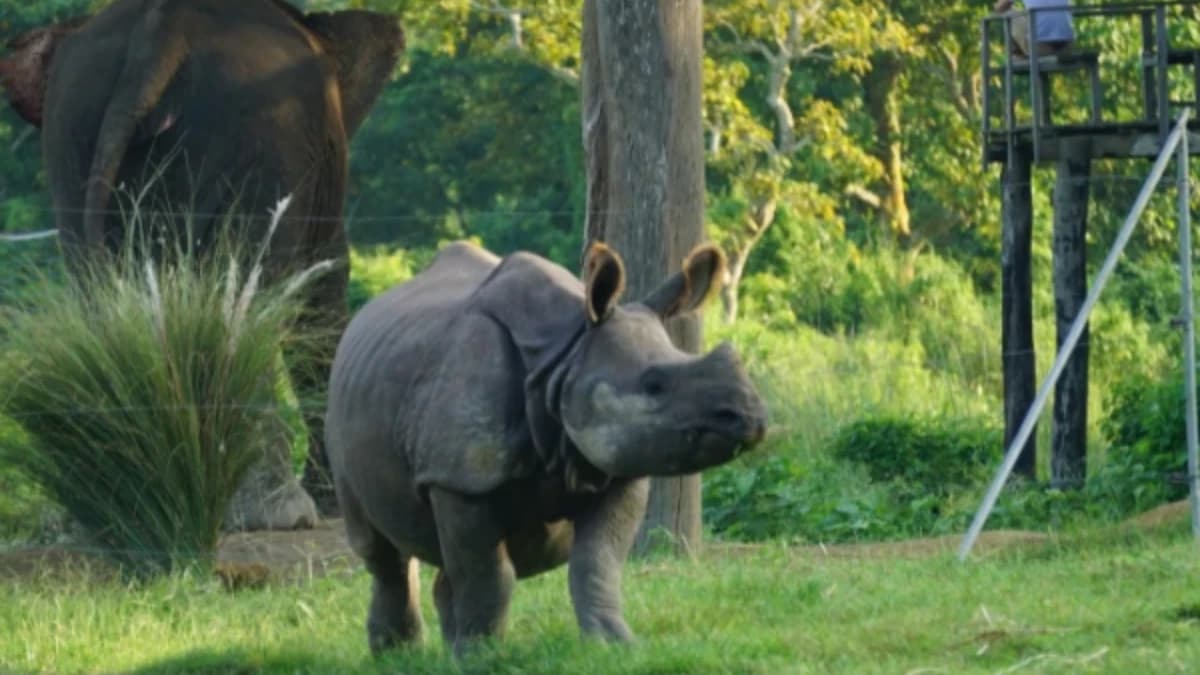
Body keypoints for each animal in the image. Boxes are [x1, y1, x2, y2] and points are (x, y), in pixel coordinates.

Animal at [0, 0, 405, 530]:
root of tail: (158, 38)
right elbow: (319, 292)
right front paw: (334, 505)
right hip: (261, 140)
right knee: (245, 300)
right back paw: (280, 515)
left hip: (75, 134)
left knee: (103, 290)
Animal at [325, 240, 768, 656]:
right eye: (654, 384)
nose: (749, 415)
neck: (565, 355)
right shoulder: (460, 475)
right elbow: (488, 575)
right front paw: (485, 658)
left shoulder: (618, 469)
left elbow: (596, 564)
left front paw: (613, 645)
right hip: (344, 413)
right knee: (382, 552)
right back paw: (399, 655)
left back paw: (448, 648)